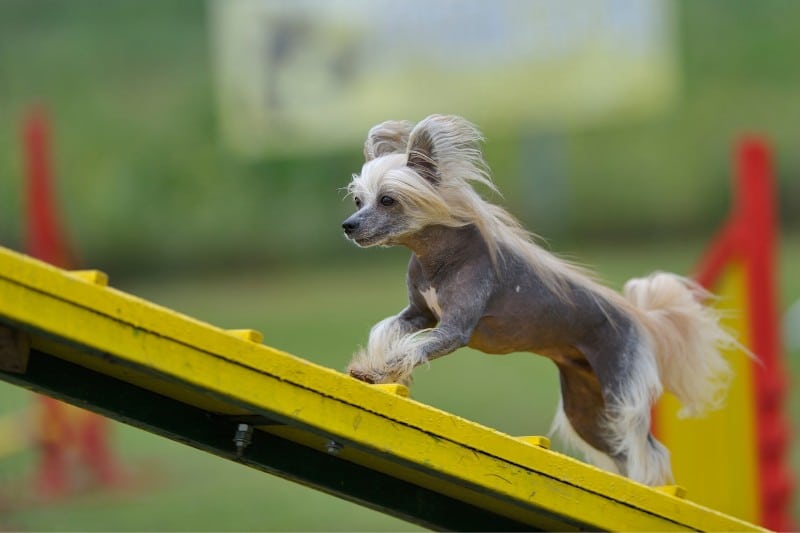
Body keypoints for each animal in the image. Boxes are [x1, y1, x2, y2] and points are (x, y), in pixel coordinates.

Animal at [340, 114, 736, 484]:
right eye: (359, 200)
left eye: (388, 200)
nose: (348, 225)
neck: (439, 257)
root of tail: (643, 320)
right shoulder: (419, 315)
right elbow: (386, 330)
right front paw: (371, 366)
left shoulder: (454, 329)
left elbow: (413, 347)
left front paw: (381, 370)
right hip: (586, 410)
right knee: (621, 451)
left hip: (620, 395)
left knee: (648, 452)